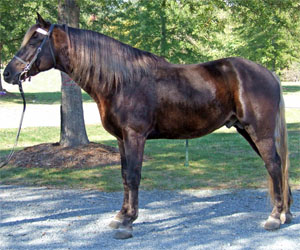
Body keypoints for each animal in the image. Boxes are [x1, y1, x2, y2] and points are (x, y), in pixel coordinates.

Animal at [2, 13, 292, 238]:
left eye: (36, 40)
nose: (8, 73)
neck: (121, 81)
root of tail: (268, 73)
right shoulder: (121, 139)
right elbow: (124, 176)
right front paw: (121, 216)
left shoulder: (135, 136)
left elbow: (133, 176)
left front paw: (128, 222)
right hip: (247, 131)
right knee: (278, 167)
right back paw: (286, 214)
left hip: (260, 131)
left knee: (274, 165)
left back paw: (275, 217)